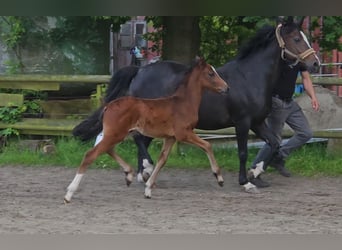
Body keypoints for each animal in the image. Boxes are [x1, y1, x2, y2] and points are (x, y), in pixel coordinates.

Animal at [64, 57, 228, 202]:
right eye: (211, 73)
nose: (226, 88)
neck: (183, 103)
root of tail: (108, 106)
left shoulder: (170, 137)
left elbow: (162, 159)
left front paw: (148, 189)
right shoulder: (184, 133)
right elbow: (207, 145)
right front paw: (219, 178)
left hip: (117, 134)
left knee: (108, 149)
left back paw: (129, 174)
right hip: (116, 134)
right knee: (91, 154)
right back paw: (69, 194)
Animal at [73, 18, 320, 193]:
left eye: (304, 37)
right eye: (296, 39)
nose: (315, 63)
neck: (250, 77)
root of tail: (140, 70)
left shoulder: (257, 122)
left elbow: (274, 142)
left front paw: (255, 173)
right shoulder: (242, 122)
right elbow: (242, 151)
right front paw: (245, 181)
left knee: (140, 141)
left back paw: (146, 174)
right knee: (139, 140)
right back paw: (147, 171)